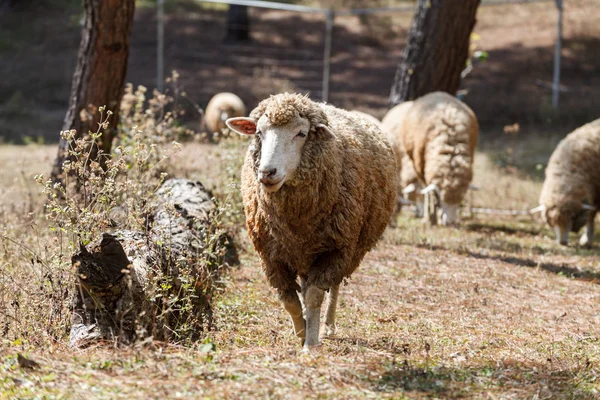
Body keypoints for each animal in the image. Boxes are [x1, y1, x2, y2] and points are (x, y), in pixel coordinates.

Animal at [225, 92, 398, 348]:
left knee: (333, 288)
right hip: (306, 254)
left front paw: (311, 342)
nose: (267, 172)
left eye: (301, 133)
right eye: (259, 132)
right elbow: (289, 301)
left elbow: (315, 296)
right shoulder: (271, 256)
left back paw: (328, 326)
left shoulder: (335, 250)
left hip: (346, 250)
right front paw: (300, 333)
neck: (296, 221)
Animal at [386, 92, 480, 227]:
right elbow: (429, 194)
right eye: (441, 199)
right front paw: (431, 217)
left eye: (460, 199)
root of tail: (438, 92)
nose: (450, 223)